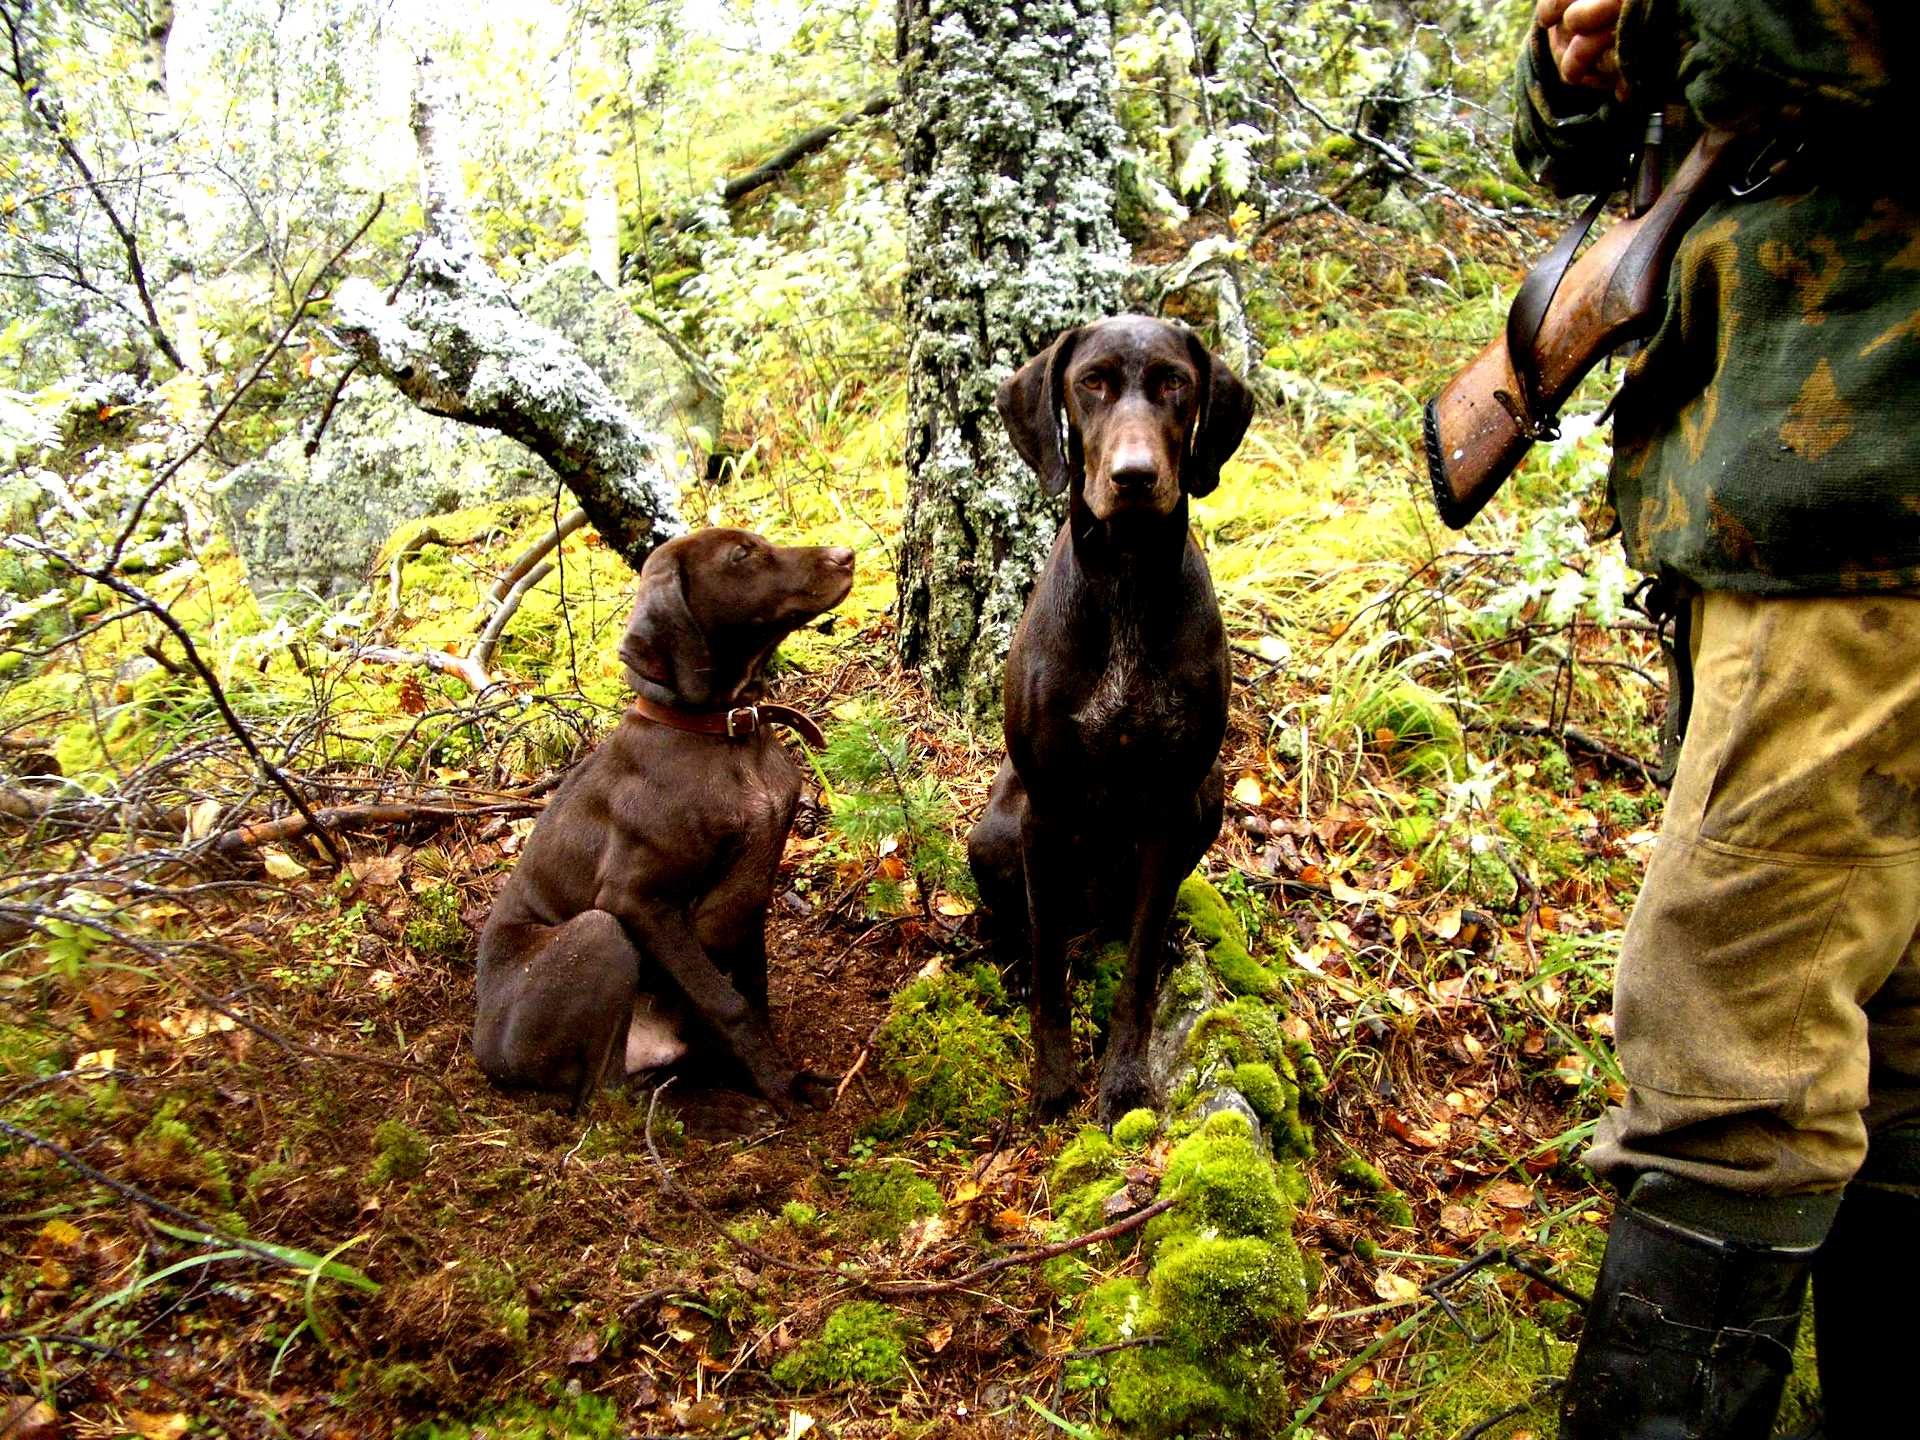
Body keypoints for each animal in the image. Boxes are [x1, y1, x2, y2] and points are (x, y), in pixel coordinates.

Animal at [472, 537, 856, 1113]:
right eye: (741, 555)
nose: (845, 555)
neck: (723, 734)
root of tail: (484, 1053)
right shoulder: (640, 902)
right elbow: (728, 1004)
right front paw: (775, 1085)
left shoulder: (750, 900)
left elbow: (752, 993)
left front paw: (777, 1074)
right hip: (598, 934)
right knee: (601, 1095)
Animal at [967, 314, 1251, 1128]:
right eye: (1090, 382)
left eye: (1174, 384)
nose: (1133, 476)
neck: (1125, 579)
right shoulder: (1045, 811)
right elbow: (1049, 968)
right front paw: (1053, 1078)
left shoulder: (1170, 807)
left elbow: (1139, 974)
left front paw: (1122, 1080)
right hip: (993, 836)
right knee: (1032, 929)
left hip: (1207, 801)